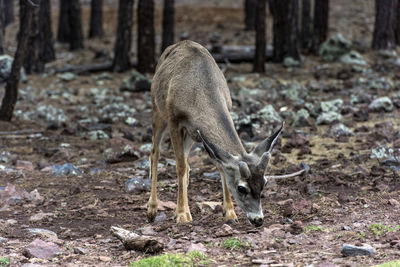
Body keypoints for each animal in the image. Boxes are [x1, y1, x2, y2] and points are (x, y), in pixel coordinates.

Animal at [145, 40, 282, 228]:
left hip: (191, 134)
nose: (258, 220)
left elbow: (220, 166)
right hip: (157, 109)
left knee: (186, 162)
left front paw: (230, 213)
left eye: (264, 184)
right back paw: (152, 209)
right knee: (155, 151)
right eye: (241, 188)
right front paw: (181, 215)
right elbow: (179, 166)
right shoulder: (174, 120)